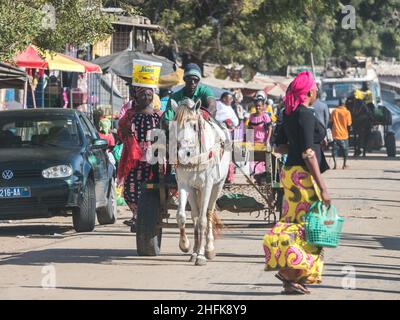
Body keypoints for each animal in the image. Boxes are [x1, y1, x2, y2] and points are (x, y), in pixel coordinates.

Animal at [171, 99, 231, 266]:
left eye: (194, 126)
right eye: (175, 124)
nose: (181, 153)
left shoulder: (207, 186)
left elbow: (204, 220)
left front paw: (202, 256)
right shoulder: (184, 184)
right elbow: (181, 216)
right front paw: (185, 245)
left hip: (218, 185)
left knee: (208, 213)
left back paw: (208, 249)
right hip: (194, 190)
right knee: (195, 217)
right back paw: (194, 251)